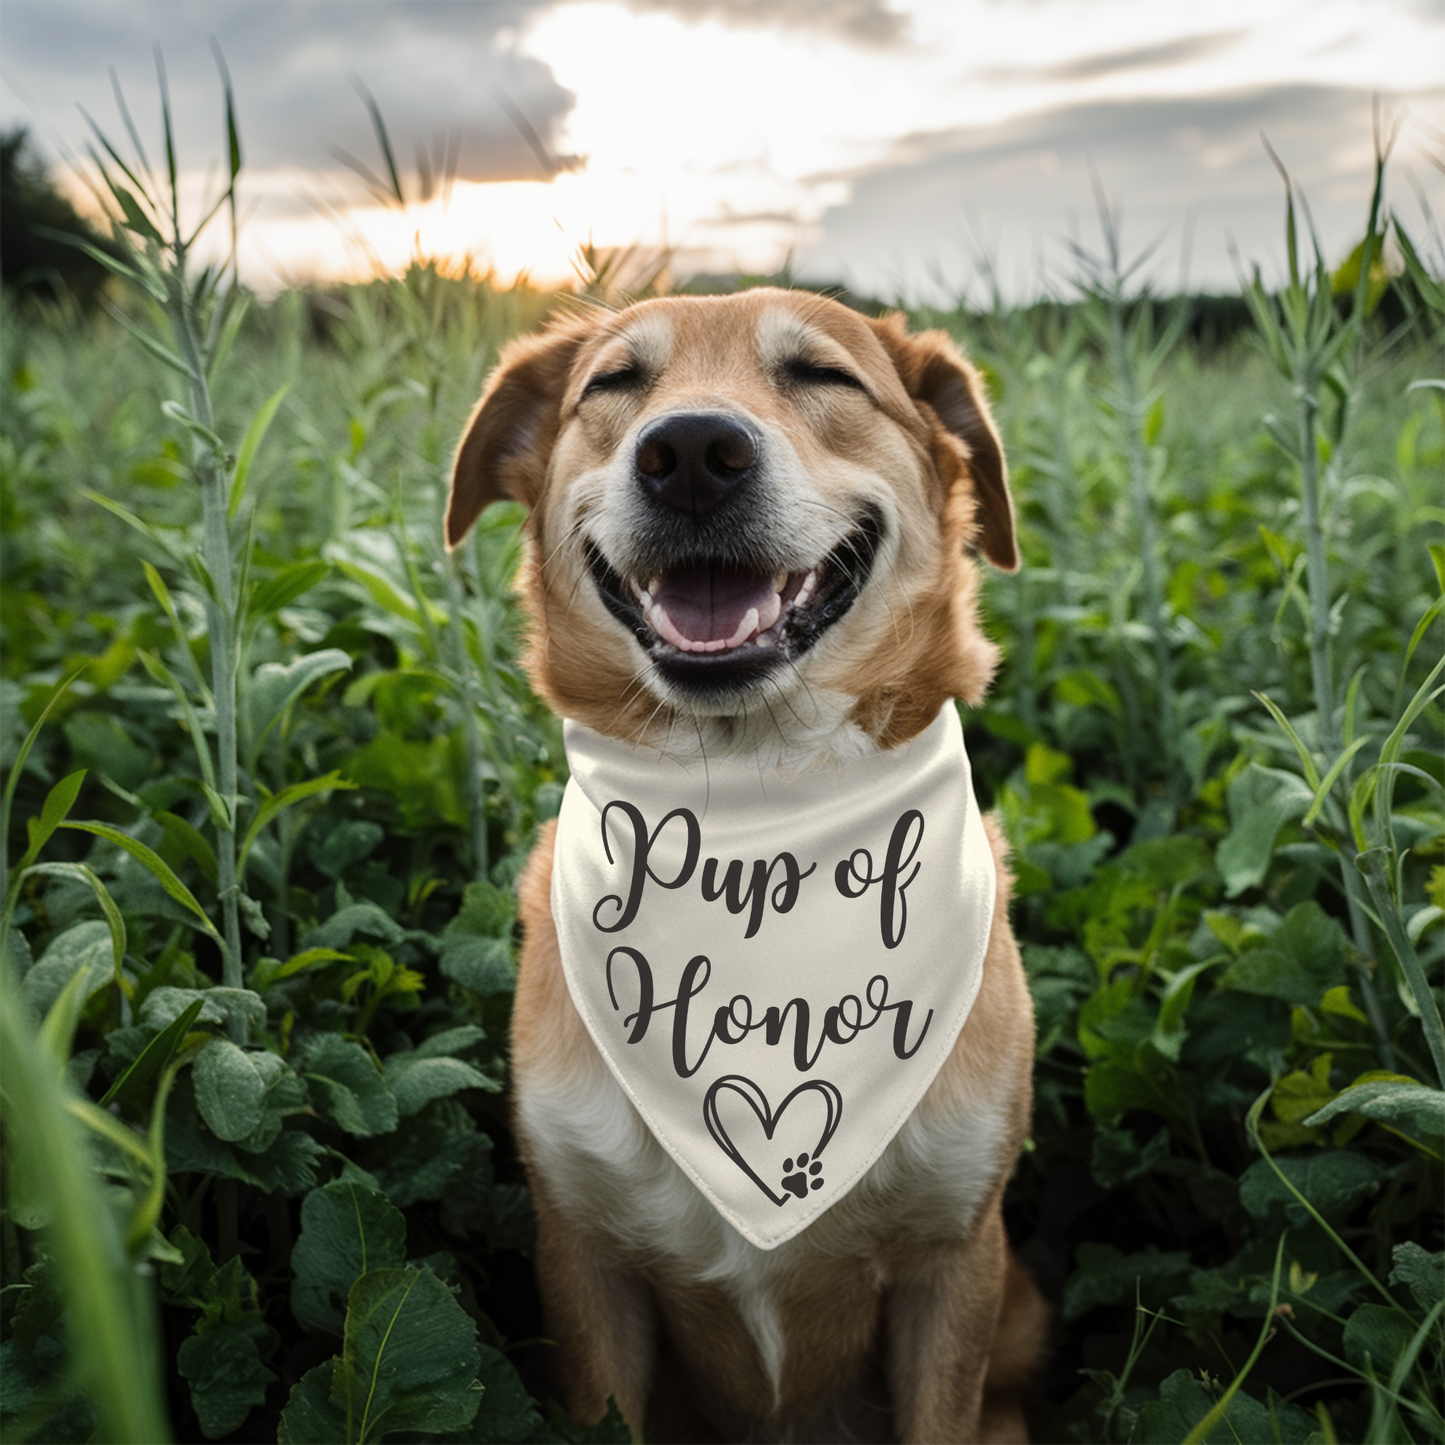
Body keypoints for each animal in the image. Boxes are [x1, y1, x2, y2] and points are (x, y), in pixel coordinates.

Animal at [445, 287, 1046, 1439]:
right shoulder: (584, 1265)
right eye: (615, 383)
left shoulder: (954, 1258)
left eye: (821, 374)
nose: (688, 452)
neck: (757, 806)